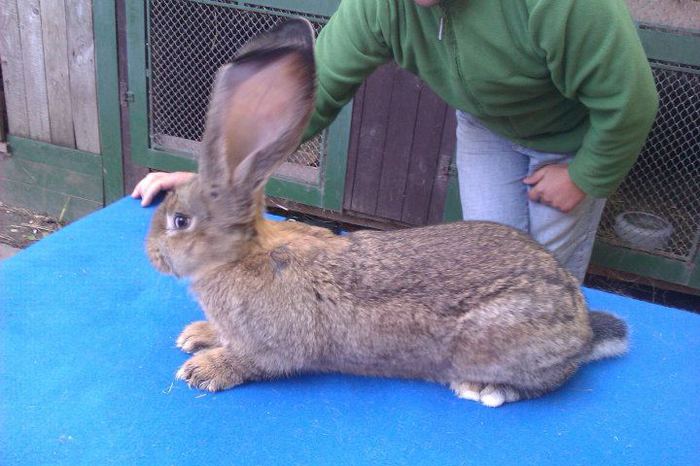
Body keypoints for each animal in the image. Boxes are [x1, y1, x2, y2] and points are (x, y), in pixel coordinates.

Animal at [145, 18, 628, 406]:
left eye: (180, 222)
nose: (151, 253)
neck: (242, 255)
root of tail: (581, 324)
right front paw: (197, 335)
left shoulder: (272, 345)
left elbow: (254, 360)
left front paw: (204, 368)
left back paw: (486, 389)